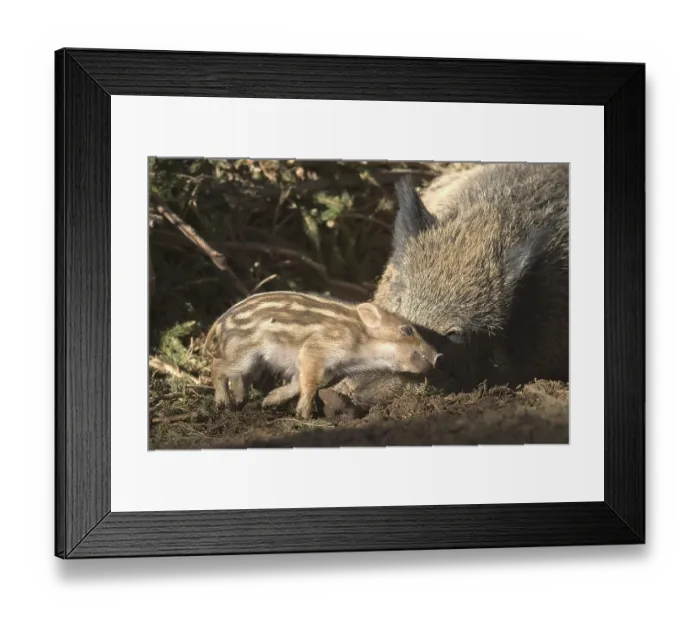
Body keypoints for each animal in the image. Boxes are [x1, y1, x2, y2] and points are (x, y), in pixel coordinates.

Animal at [203, 291, 442, 420]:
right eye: (407, 330)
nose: (438, 355)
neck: (360, 342)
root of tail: (220, 321)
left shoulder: (328, 368)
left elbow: (299, 383)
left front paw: (269, 402)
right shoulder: (315, 351)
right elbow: (310, 383)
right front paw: (304, 415)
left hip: (253, 362)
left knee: (240, 379)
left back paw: (241, 402)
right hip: (240, 354)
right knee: (218, 368)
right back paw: (222, 404)